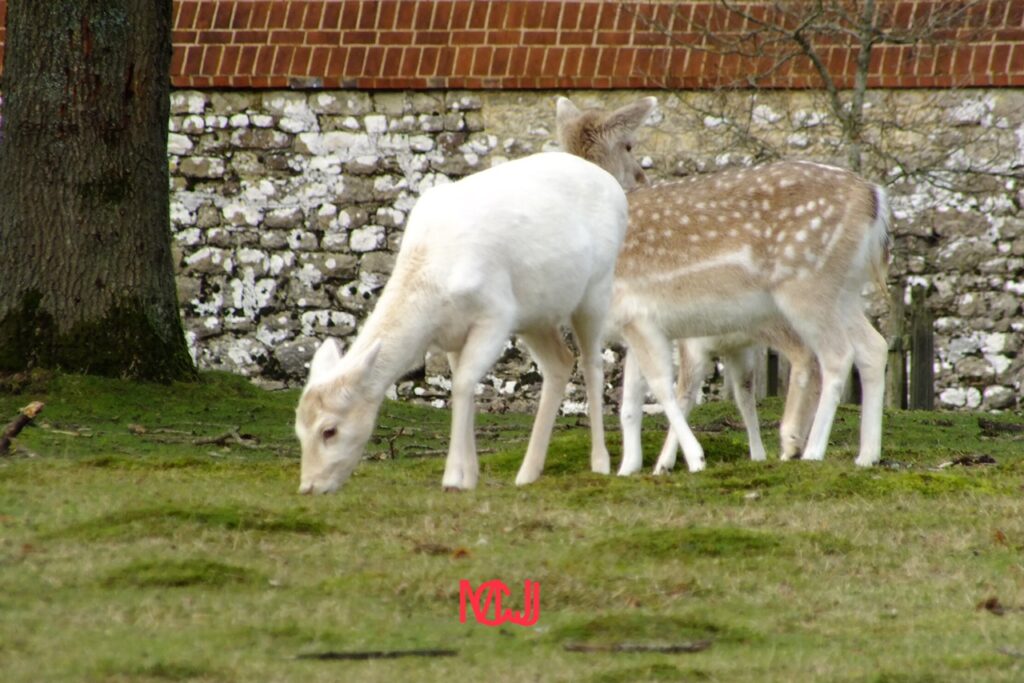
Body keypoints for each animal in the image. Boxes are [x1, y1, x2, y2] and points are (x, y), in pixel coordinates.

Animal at [294, 152, 629, 494]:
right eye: (299, 429)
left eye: (329, 430)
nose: (309, 487)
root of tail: (616, 187)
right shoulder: (452, 335)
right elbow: (461, 384)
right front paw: (469, 475)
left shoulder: (496, 314)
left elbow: (464, 383)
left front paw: (454, 477)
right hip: (537, 315)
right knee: (560, 362)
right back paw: (527, 473)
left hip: (596, 289)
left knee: (592, 363)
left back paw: (600, 462)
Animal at [556, 96, 889, 474]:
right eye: (628, 146)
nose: (642, 177)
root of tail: (874, 197)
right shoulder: (636, 324)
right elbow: (631, 404)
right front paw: (629, 469)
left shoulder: (639, 317)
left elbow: (663, 389)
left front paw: (685, 460)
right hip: (844, 291)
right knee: (873, 347)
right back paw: (866, 455)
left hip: (806, 286)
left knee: (835, 355)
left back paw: (811, 451)